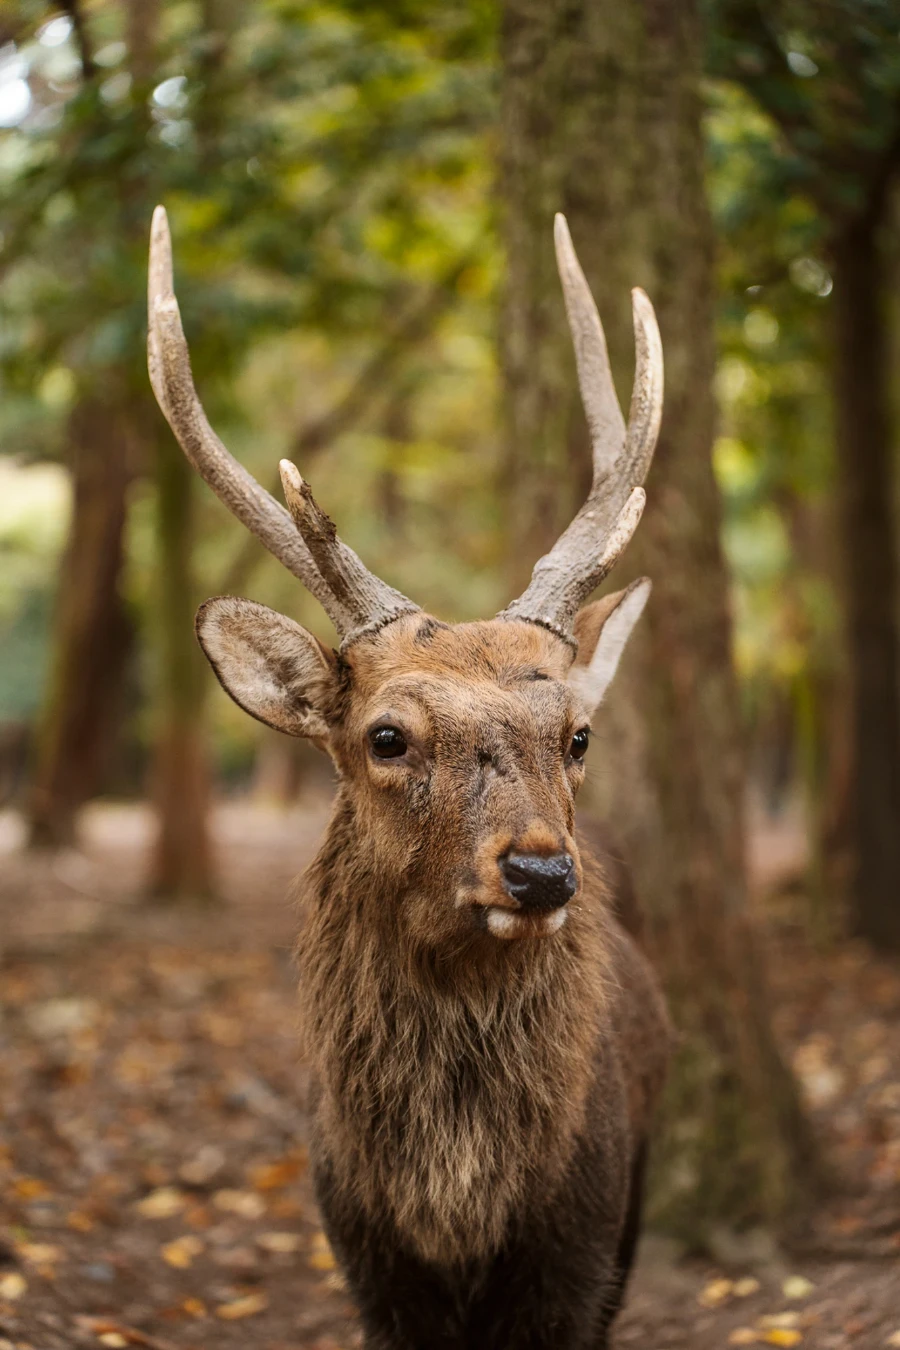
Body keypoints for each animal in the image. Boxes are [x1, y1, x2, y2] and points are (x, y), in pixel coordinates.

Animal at [147, 205, 671, 1350]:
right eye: (387, 737)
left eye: (578, 734)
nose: (540, 873)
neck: (454, 1199)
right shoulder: (363, 1252)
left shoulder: (581, 1241)